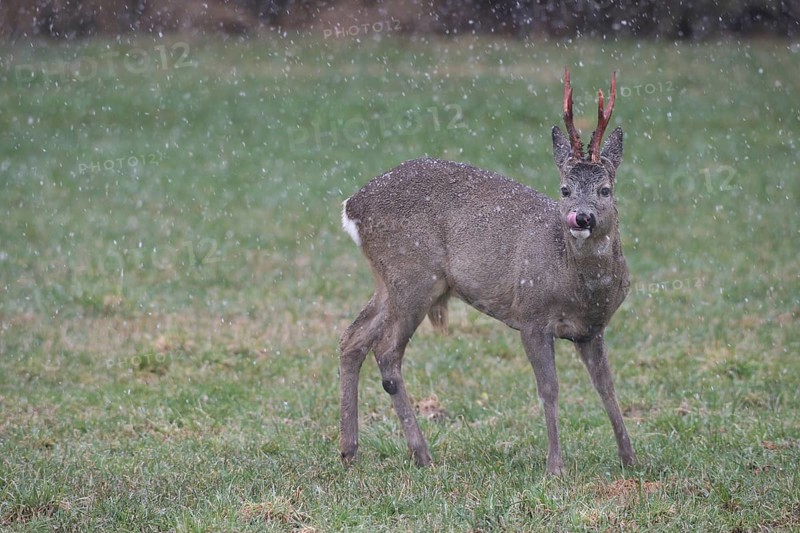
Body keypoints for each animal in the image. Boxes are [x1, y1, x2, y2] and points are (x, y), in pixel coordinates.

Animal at [338, 68, 635, 475]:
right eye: (564, 189)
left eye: (605, 189)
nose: (581, 217)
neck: (578, 287)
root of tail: (352, 206)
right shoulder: (531, 315)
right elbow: (549, 389)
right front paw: (555, 467)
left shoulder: (592, 329)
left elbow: (606, 386)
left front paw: (630, 458)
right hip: (412, 274)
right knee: (386, 350)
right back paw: (422, 454)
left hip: (390, 280)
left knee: (353, 338)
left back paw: (349, 450)